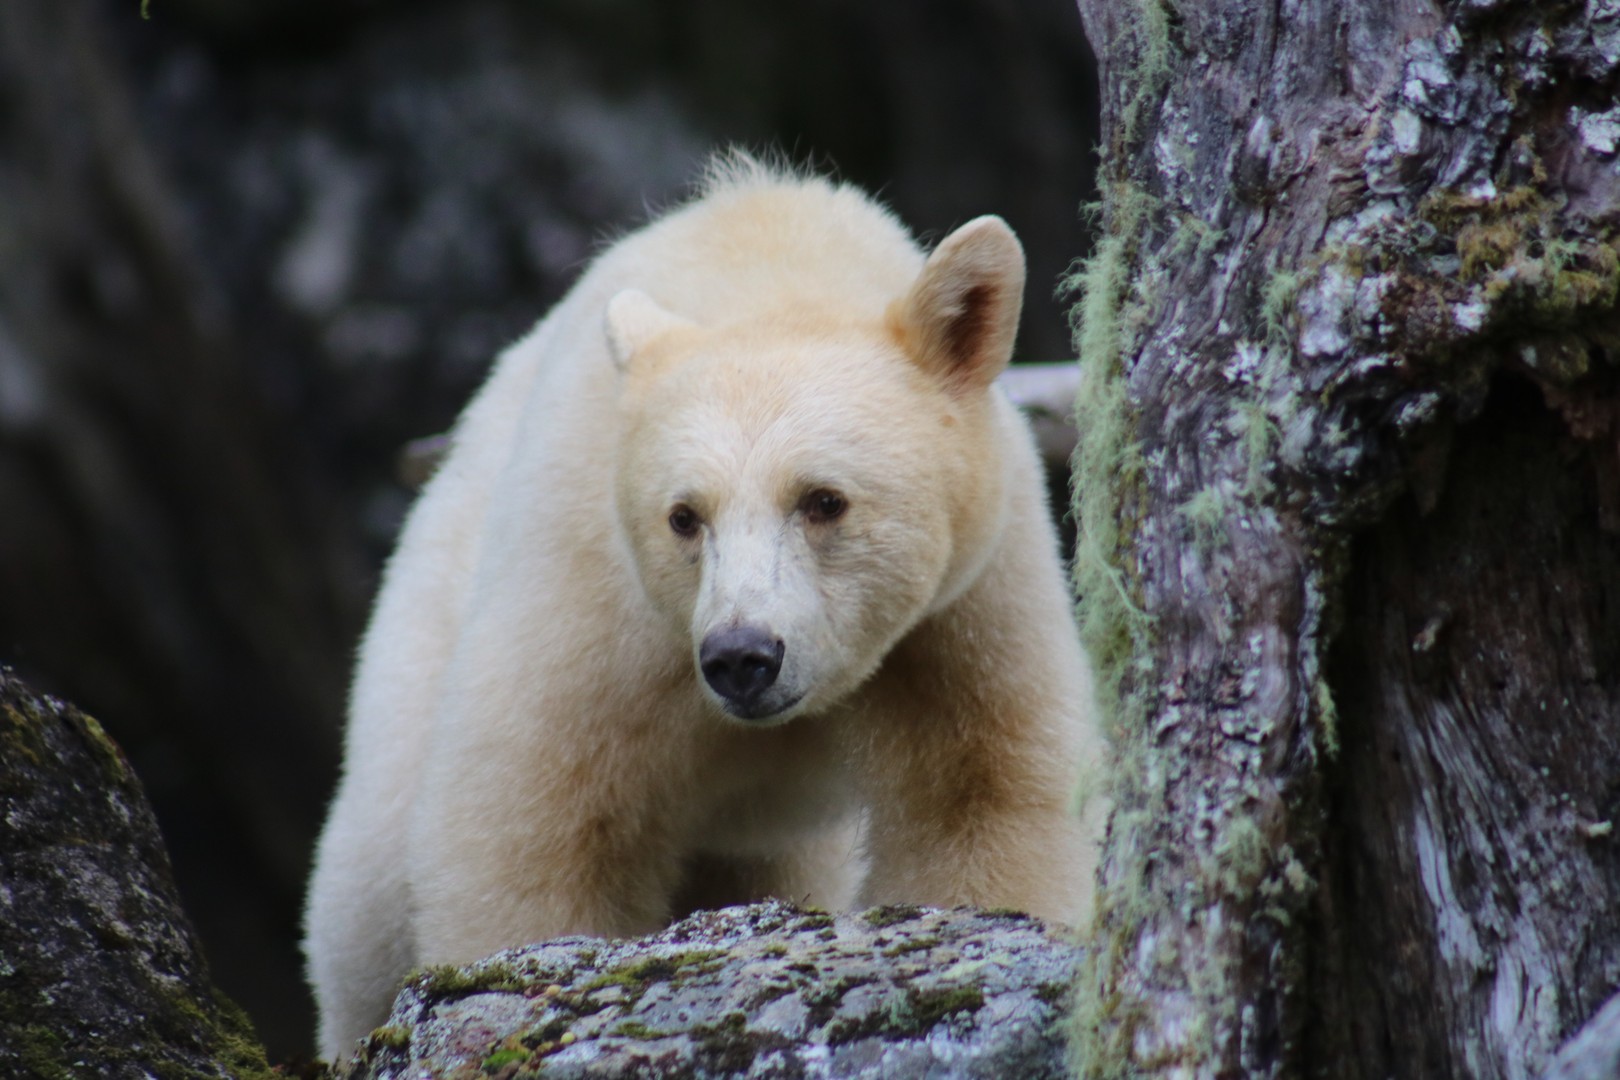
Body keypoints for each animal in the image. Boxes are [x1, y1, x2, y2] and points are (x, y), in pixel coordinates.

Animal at [302, 155, 1107, 1062]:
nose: (742, 657)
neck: (766, 266)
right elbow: (529, 833)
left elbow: (983, 798)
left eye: (823, 500)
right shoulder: (598, 607)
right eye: (685, 516)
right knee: (365, 896)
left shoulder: (962, 609)